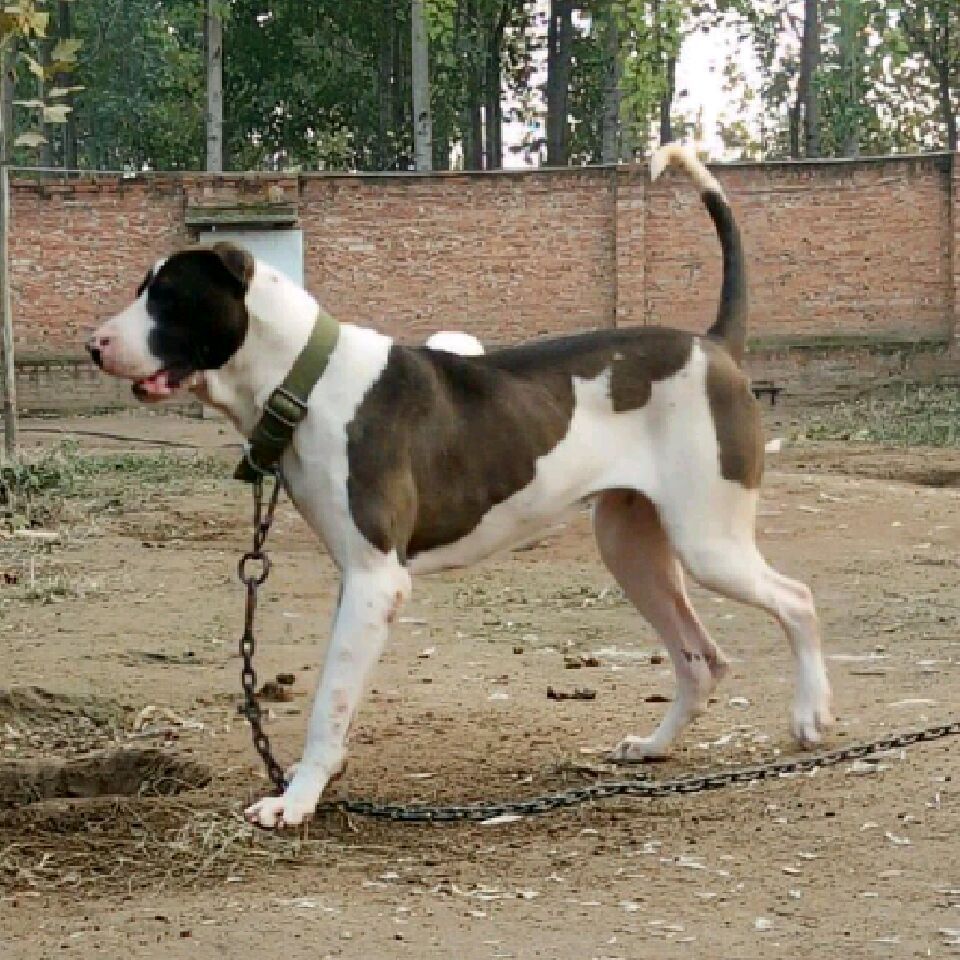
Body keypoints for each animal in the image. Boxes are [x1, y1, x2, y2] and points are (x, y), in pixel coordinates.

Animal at [87, 145, 833, 828]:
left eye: (167, 298)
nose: (94, 344)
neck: (307, 377)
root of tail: (714, 346)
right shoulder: (356, 581)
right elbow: (338, 692)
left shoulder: (376, 581)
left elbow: (328, 702)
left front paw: (296, 800)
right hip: (632, 548)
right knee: (700, 657)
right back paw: (653, 746)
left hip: (708, 542)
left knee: (797, 599)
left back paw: (811, 714)